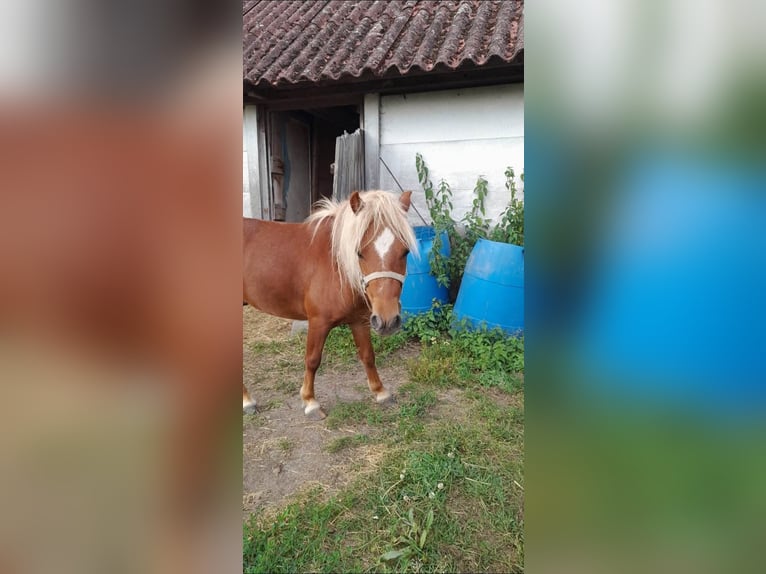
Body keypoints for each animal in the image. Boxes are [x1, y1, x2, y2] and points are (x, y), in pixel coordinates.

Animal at [242, 190, 417, 419]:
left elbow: (368, 356)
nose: (388, 321)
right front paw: (310, 402)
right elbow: (312, 360)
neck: (337, 265)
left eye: (405, 251)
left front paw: (380, 392)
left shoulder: (360, 321)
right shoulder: (318, 322)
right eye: (359, 252)